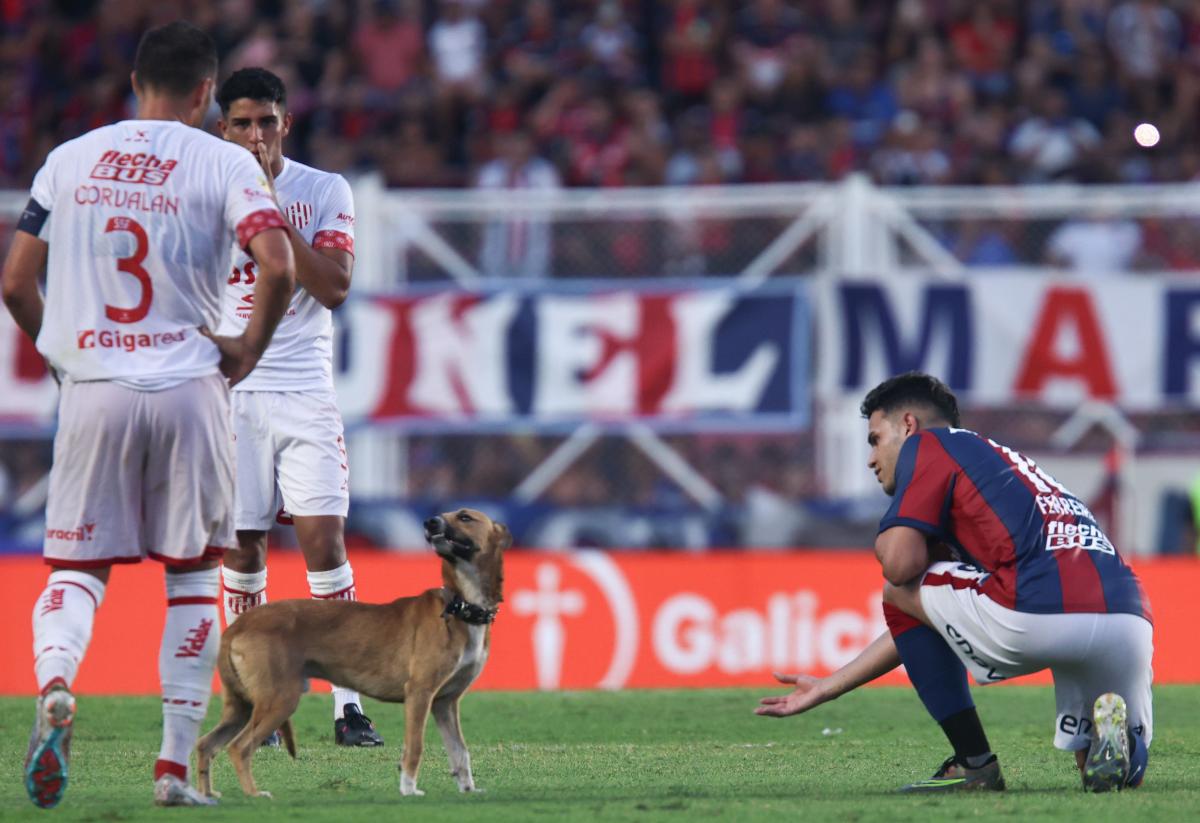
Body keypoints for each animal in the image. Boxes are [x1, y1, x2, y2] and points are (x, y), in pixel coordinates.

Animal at [190, 508, 506, 801]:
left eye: (465, 517)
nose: (430, 522)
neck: (460, 606)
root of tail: (239, 624)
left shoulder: (445, 702)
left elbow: (460, 751)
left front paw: (468, 788)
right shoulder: (420, 693)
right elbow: (415, 746)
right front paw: (408, 789)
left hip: (241, 705)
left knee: (206, 744)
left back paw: (207, 795)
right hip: (279, 699)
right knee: (239, 747)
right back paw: (254, 795)